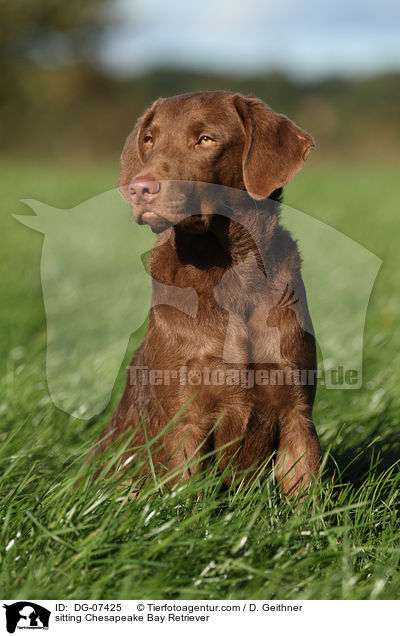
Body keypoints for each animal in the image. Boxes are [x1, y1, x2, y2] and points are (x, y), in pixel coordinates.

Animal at [97, 92, 322, 494]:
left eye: (205, 139)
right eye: (149, 140)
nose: (141, 188)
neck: (231, 273)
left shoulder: (297, 411)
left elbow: (306, 493)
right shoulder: (187, 419)